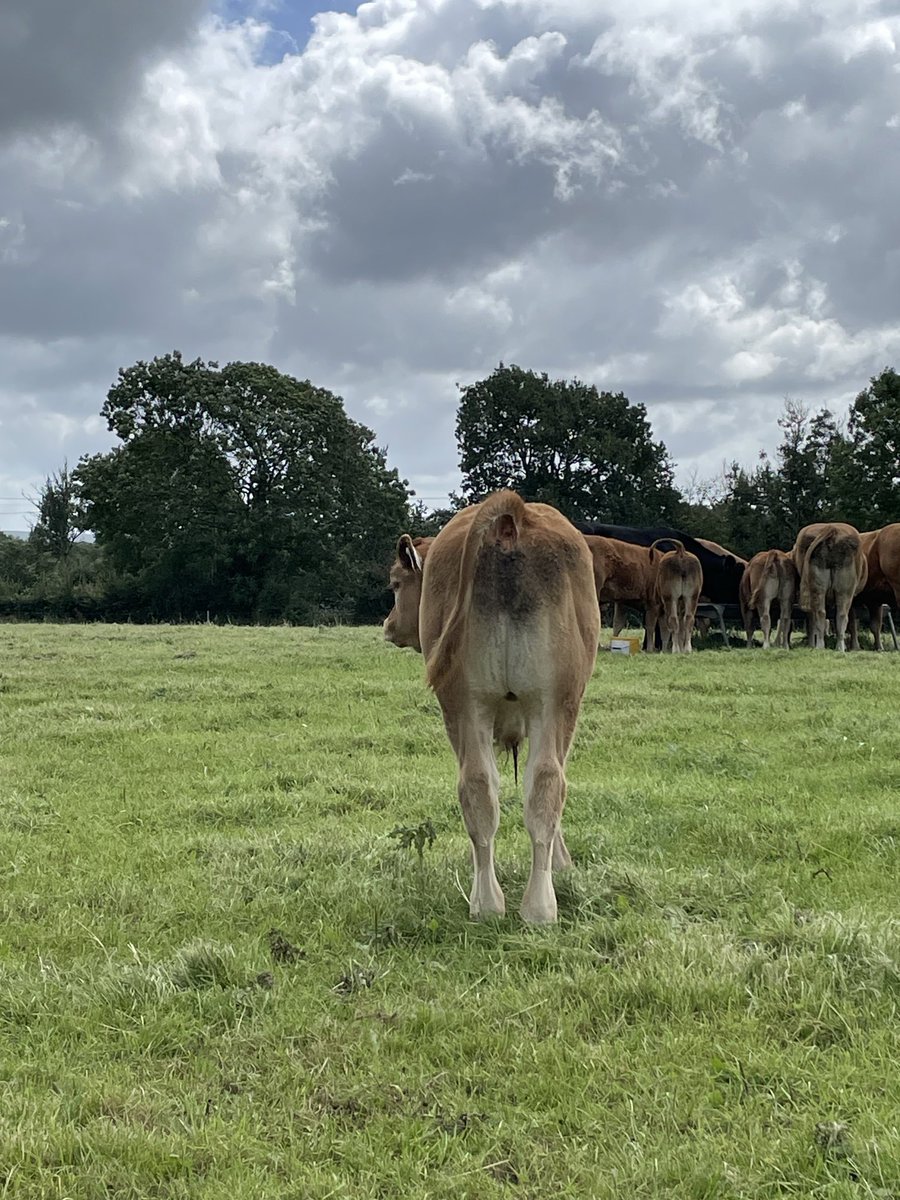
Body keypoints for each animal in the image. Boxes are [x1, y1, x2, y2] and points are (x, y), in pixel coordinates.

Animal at [383, 491, 599, 924]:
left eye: (396, 584)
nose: (388, 624)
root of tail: (511, 520)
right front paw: (562, 863)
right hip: (553, 703)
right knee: (544, 782)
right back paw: (532, 904)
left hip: (469, 702)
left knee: (484, 784)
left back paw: (492, 904)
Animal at [792, 522, 868, 651]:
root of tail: (831, 527)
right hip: (846, 589)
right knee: (842, 615)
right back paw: (840, 647)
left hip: (819, 585)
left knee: (821, 613)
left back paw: (821, 646)